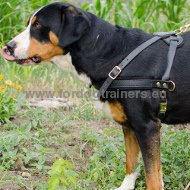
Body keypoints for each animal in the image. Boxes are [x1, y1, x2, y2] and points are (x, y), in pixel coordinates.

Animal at [1, 1, 190, 190]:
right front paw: (126, 186)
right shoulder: (130, 126)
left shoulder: (146, 126)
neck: (113, 56)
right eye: (29, 24)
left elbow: (152, 177)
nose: (8, 47)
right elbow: (132, 163)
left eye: (38, 25)